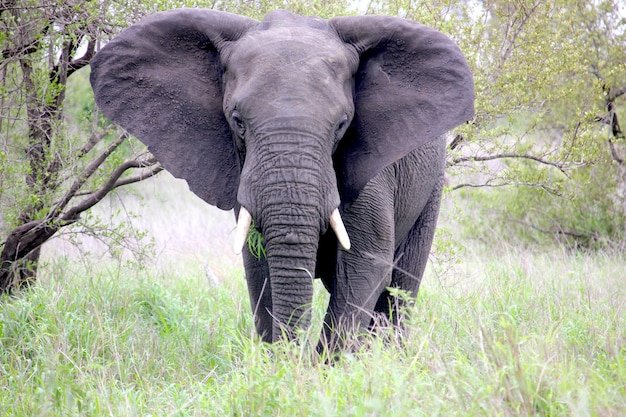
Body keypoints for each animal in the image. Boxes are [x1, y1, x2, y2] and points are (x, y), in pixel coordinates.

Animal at [90, 8, 472, 348]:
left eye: (342, 125)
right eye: (237, 121)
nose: (294, 358)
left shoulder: (369, 172)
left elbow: (364, 266)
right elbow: (259, 271)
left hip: (430, 188)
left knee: (399, 291)